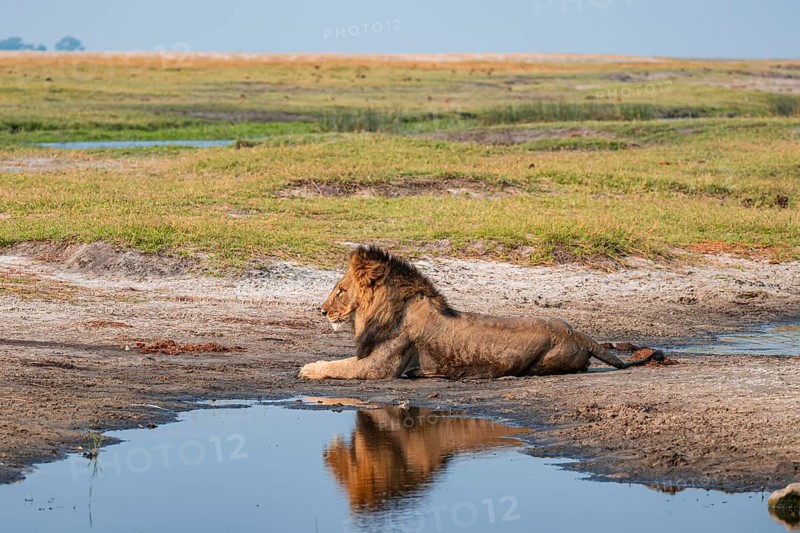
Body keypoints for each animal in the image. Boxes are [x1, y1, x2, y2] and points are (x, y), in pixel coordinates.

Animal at [299, 245, 661, 380]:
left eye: (340, 290)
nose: (321, 311)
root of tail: (579, 333)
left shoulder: (378, 367)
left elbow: (336, 366)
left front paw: (307, 368)